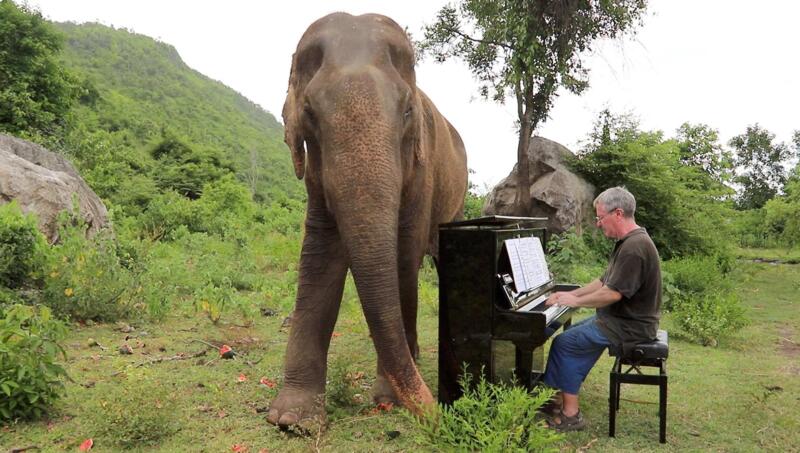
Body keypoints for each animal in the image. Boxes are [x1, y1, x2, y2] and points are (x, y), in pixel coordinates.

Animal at [268, 11, 468, 428]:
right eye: (309, 113)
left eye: (407, 111)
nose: (437, 414)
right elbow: (319, 256)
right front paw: (291, 418)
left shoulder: (422, 169)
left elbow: (404, 255)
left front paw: (388, 399)